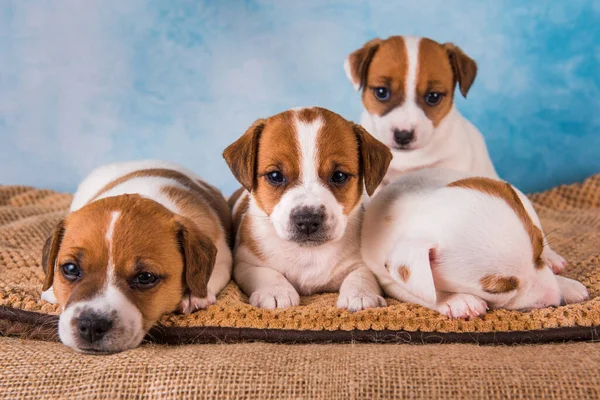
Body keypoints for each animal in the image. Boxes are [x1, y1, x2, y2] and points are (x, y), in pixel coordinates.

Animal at [223, 107, 392, 312]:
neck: (308, 254)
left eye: (339, 176)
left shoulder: (361, 263)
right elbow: (266, 273)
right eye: (275, 176)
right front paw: (276, 291)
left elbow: (361, 275)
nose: (308, 220)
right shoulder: (245, 263)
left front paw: (361, 295)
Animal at [360, 169, 592, 318]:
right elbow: (427, 295)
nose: (557, 300)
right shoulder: (390, 280)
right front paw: (456, 300)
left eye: (538, 255)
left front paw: (565, 284)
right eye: (499, 289)